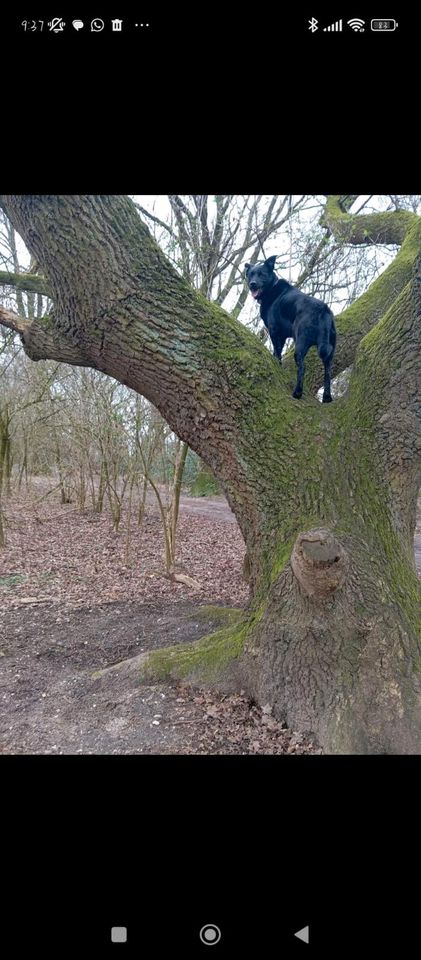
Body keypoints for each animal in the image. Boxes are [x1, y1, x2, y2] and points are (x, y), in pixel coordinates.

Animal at [244, 255, 336, 402]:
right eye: (250, 274)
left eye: (261, 274)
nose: (252, 284)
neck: (272, 288)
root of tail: (323, 309)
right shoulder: (283, 335)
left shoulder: (275, 331)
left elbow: (277, 352)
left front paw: (277, 364)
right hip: (330, 349)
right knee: (327, 371)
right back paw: (327, 398)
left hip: (300, 344)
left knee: (302, 368)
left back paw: (297, 393)